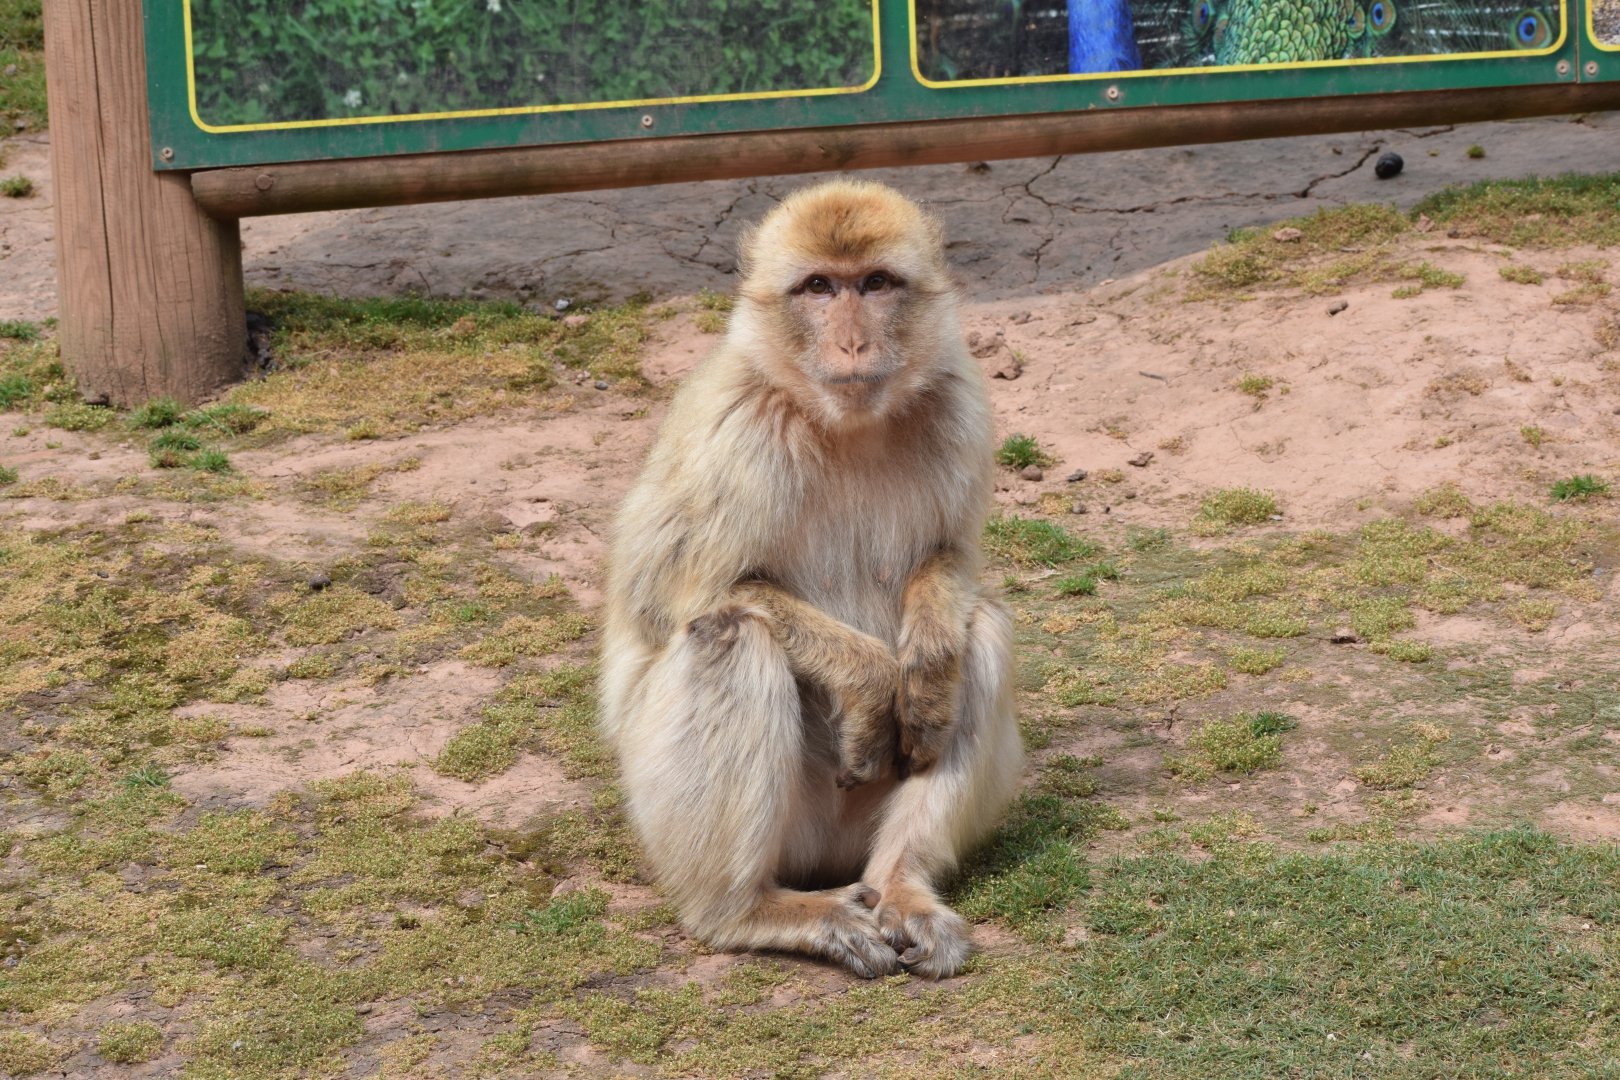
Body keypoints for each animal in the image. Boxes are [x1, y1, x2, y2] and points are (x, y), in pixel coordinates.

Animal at [599, 179, 1022, 979]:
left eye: (876, 283)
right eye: (819, 287)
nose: (853, 342)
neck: (844, 422)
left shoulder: (960, 401)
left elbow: (953, 558)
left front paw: (925, 662)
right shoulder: (734, 428)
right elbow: (665, 597)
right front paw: (869, 679)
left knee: (978, 634)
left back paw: (901, 887)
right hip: (687, 810)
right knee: (728, 636)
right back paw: (745, 912)